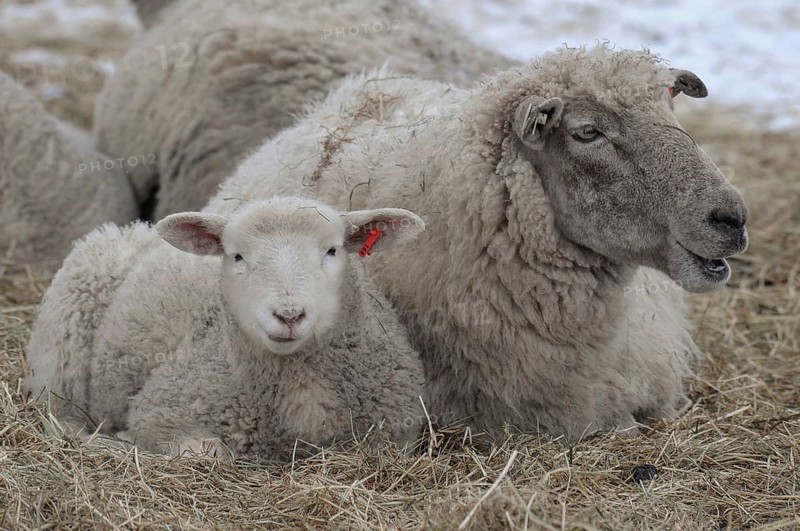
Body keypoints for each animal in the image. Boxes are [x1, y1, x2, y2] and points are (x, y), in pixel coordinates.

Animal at [25, 196, 427, 459]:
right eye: (237, 256)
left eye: (332, 251)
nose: (289, 315)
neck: (300, 383)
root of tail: (132, 230)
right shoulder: (160, 408)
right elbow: (208, 453)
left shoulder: (398, 430)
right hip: (61, 355)